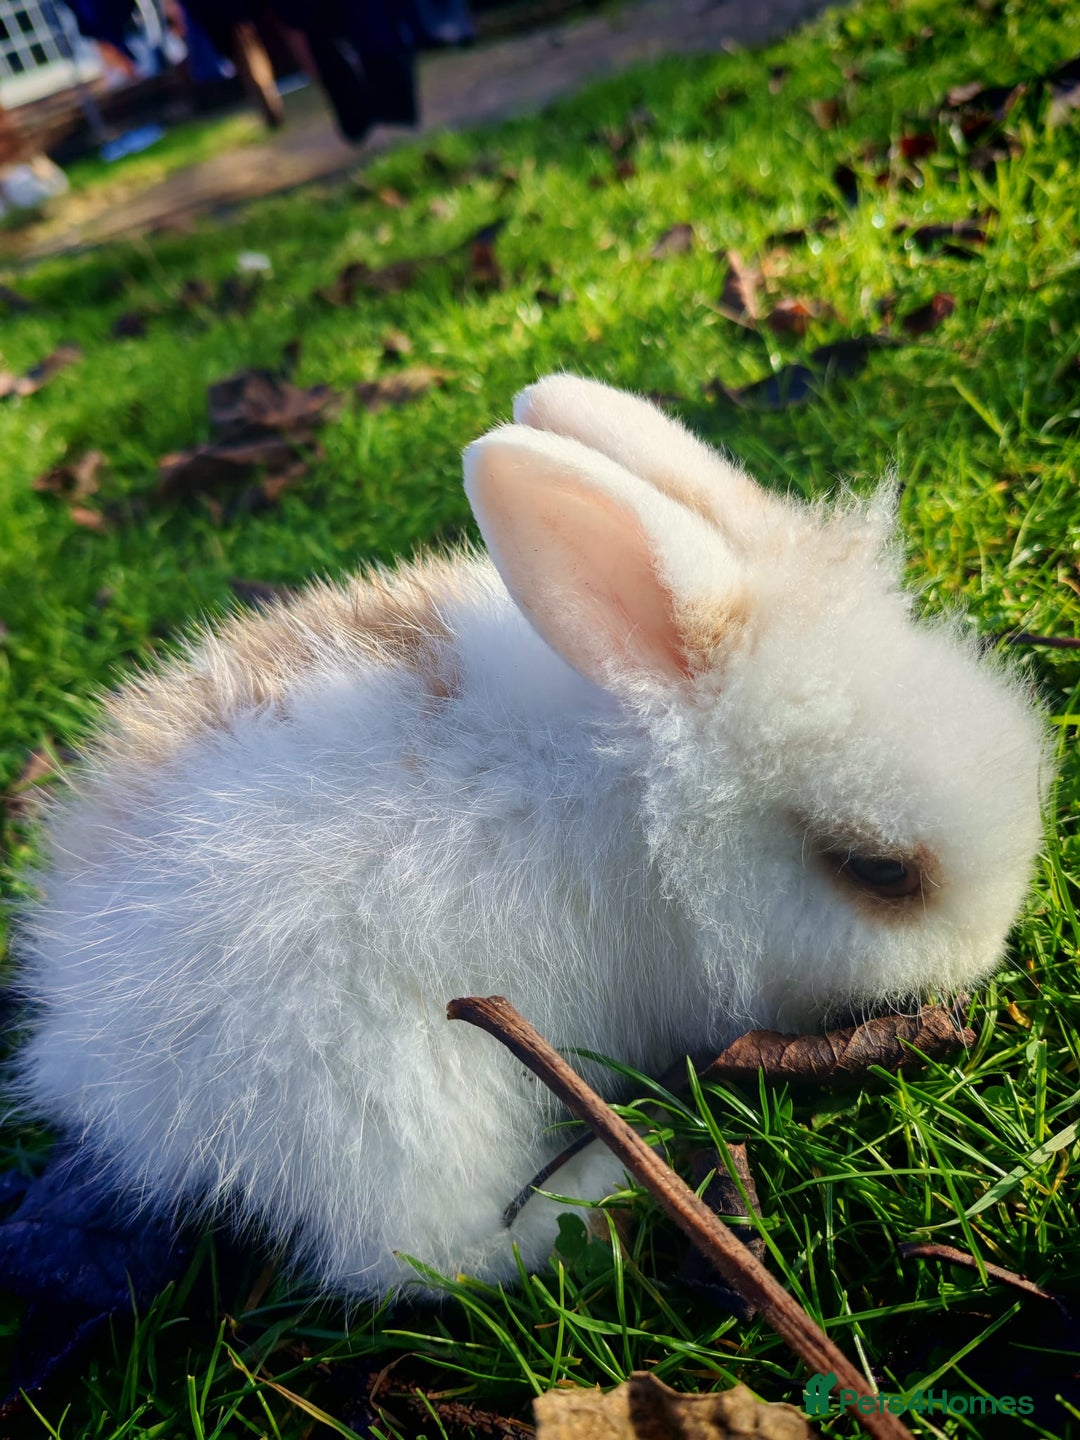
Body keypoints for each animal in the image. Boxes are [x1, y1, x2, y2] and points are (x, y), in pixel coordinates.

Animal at [12, 374, 1048, 1298]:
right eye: (879, 871)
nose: (988, 949)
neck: (642, 809)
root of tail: (85, 1043)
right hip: (380, 1094)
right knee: (421, 1253)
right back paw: (608, 1180)